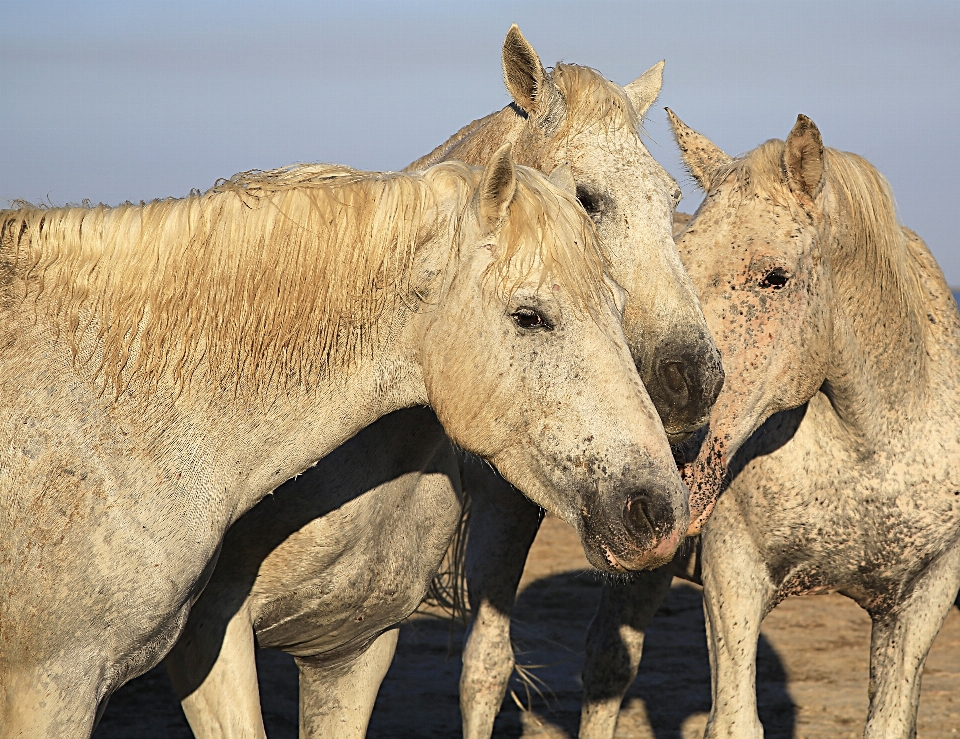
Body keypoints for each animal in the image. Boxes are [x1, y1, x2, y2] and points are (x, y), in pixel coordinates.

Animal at [576, 111, 960, 739]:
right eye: (683, 260)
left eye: (775, 277)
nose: (658, 421)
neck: (869, 446)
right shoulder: (734, 580)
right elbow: (735, 719)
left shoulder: (924, 598)